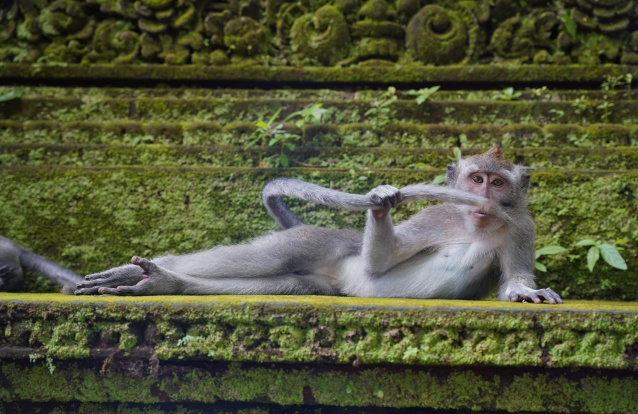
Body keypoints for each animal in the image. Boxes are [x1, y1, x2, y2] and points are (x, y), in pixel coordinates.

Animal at [75, 145, 564, 304]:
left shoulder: (522, 228)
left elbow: (514, 277)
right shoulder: (435, 217)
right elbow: (379, 265)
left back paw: (166, 283)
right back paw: (149, 270)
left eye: (498, 182)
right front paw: (383, 202)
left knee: (284, 282)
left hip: (320, 282)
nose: (486, 199)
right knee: (265, 259)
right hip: (316, 240)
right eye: (476, 179)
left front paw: (525, 292)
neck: (474, 225)